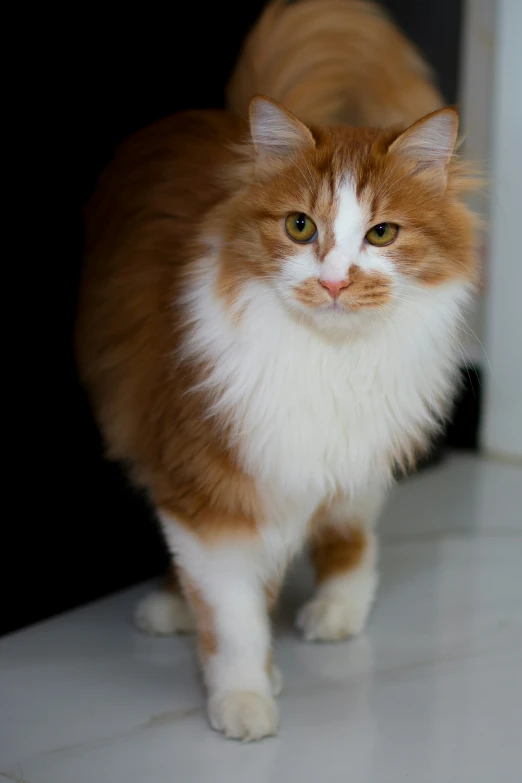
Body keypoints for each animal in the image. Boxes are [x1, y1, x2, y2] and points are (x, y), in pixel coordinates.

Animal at [75, 0, 478, 740]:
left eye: (382, 233)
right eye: (299, 227)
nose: (335, 282)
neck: (327, 360)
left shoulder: (346, 446)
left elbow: (330, 545)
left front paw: (260, 677)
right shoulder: (211, 484)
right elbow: (233, 612)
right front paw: (246, 693)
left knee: (352, 532)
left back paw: (338, 612)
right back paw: (172, 607)